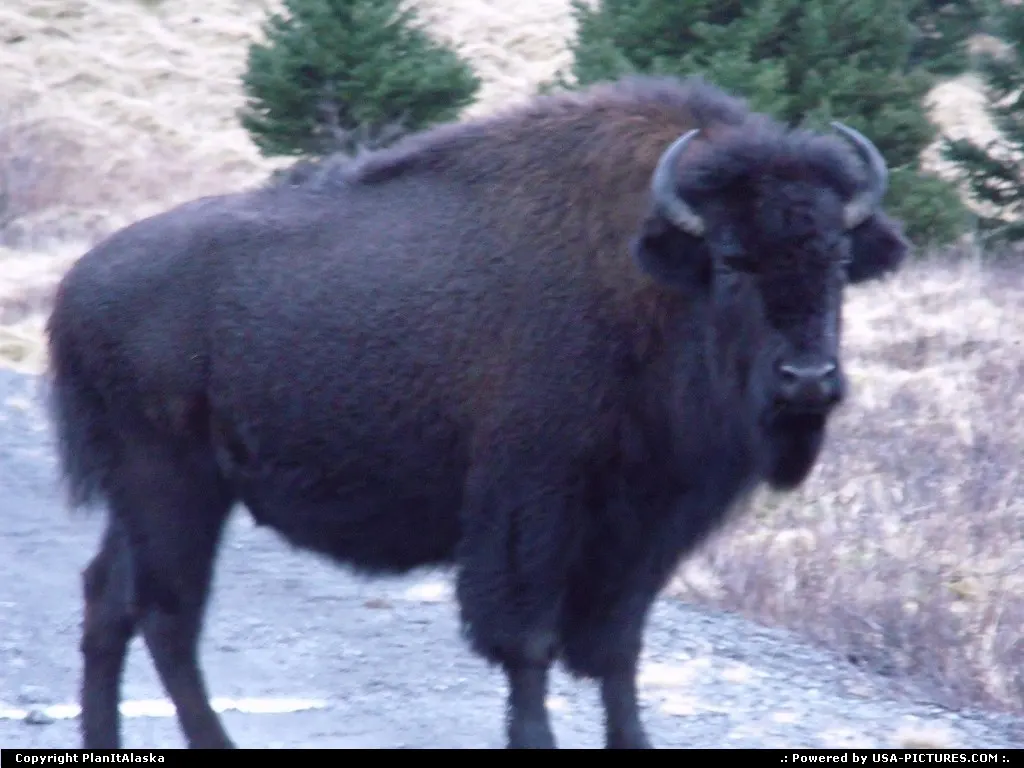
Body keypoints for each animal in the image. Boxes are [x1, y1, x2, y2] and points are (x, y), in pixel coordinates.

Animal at [45, 75, 909, 749]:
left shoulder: (649, 524)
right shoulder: (533, 510)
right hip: (173, 486)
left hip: (150, 498)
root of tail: (77, 284)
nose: (807, 380)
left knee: (108, 601)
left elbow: (618, 649)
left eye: (837, 256)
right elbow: (528, 643)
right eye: (731, 260)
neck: (651, 276)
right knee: (166, 615)